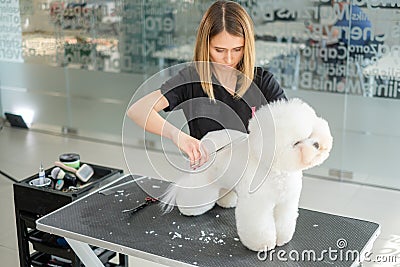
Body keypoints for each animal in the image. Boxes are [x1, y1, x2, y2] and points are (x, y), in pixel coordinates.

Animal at [159, 97, 332, 252]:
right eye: (296, 143)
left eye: (311, 134)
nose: (317, 144)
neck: (276, 171)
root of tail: (206, 142)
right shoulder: (257, 204)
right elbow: (259, 226)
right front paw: (263, 245)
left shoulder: (286, 202)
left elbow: (284, 221)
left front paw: (282, 239)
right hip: (203, 180)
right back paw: (189, 209)